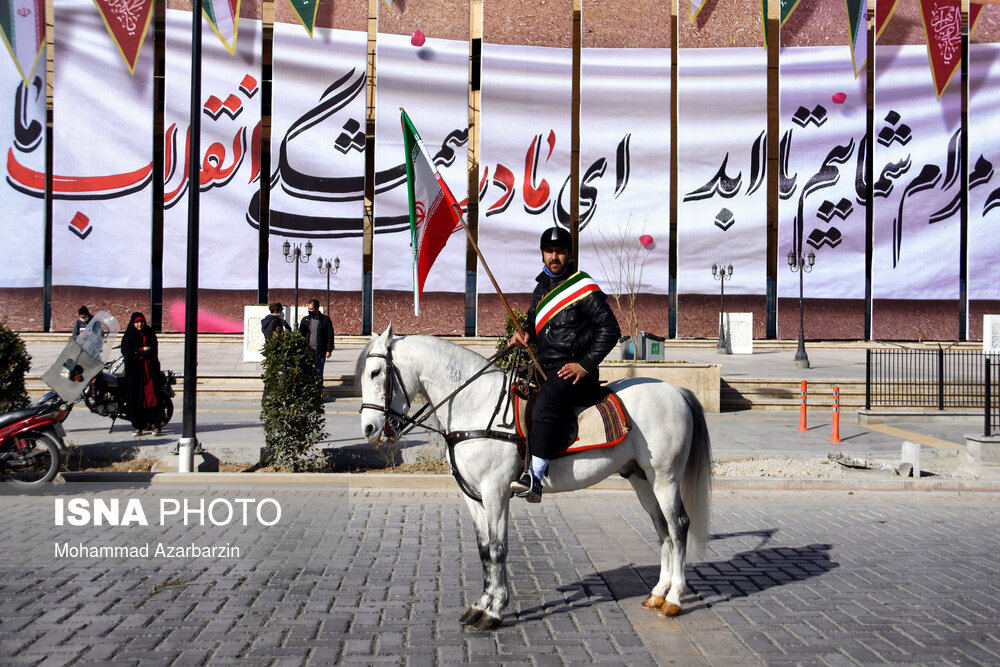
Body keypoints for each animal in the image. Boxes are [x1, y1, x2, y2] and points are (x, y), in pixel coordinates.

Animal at [360, 324, 712, 632]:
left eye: (375, 373)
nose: (369, 428)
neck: (475, 403)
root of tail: (677, 391)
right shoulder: (472, 495)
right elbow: (484, 549)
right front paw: (480, 605)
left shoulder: (495, 491)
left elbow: (499, 549)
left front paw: (495, 610)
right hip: (642, 479)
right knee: (662, 529)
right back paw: (657, 593)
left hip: (665, 478)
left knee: (679, 526)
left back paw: (675, 598)